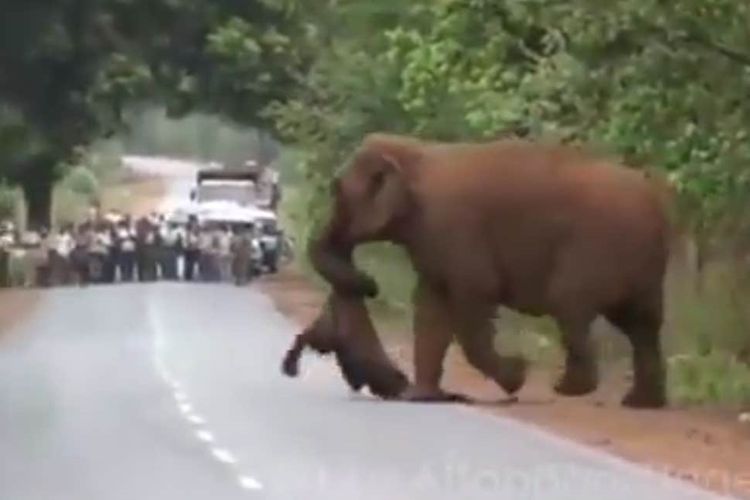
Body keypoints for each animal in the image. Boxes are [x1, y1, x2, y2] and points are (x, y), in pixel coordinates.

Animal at [308, 133, 672, 410]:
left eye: (336, 191)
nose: (371, 285)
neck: (415, 153)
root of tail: (658, 202)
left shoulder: (455, 228)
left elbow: (472, 299)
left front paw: (517, 375)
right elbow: (430, 306)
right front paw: (421, 398)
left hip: (598, 248)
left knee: (571, 304)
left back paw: (568, 389)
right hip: (640, 265)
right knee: (642, 324)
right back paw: (640, 403)